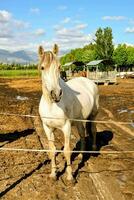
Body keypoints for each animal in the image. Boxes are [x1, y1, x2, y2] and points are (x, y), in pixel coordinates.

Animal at [38, 44, 99, 181]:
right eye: (42, 67)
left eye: (59, 67)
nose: (56, 94)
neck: (52, 105)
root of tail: (88, 81)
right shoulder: (47, 128)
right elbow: (52, 151)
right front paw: (53, 174)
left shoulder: (66, 127)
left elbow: (67, 151)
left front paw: (70, 177)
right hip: (79, 121)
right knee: (82, 135)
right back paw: (81, 156)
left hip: (93, 115)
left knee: (93, 130)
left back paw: (93, 149)